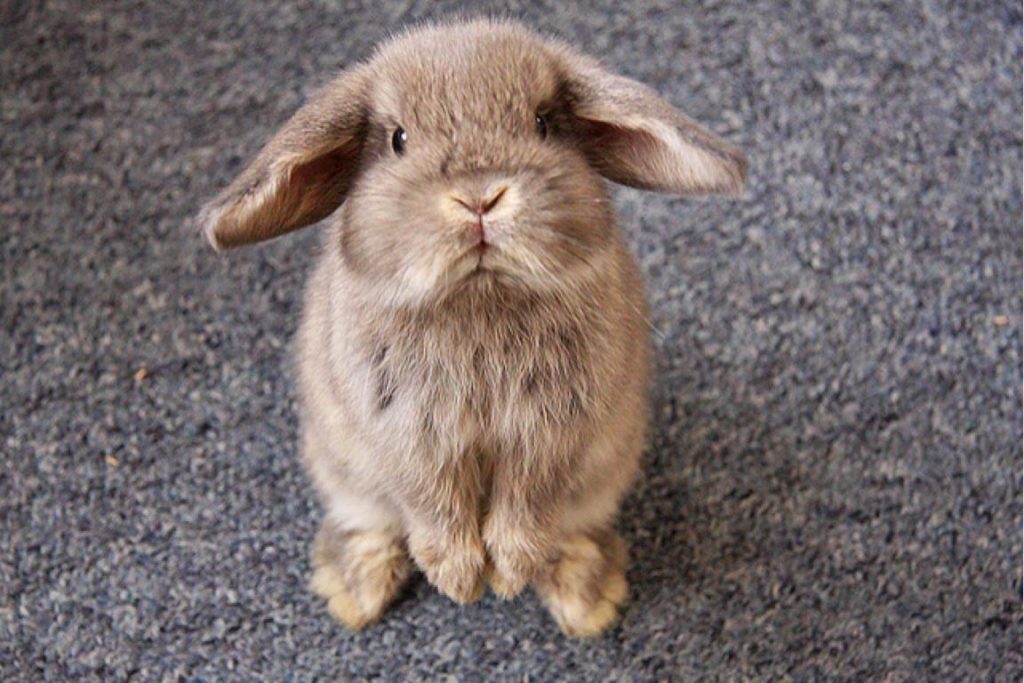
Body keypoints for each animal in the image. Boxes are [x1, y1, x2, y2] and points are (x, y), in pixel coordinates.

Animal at [198, 18, 745, 637]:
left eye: (542, 123)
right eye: (398, 139)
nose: (480, 198)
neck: (479, 297)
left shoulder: (550, 436)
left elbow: (527, 503)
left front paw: (506, 574)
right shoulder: (406, 434)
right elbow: (432, 502)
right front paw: (460, 579)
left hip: (605, 469)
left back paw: (587, 600)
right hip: (342, 465)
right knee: (370, 523)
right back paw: (355, 593)